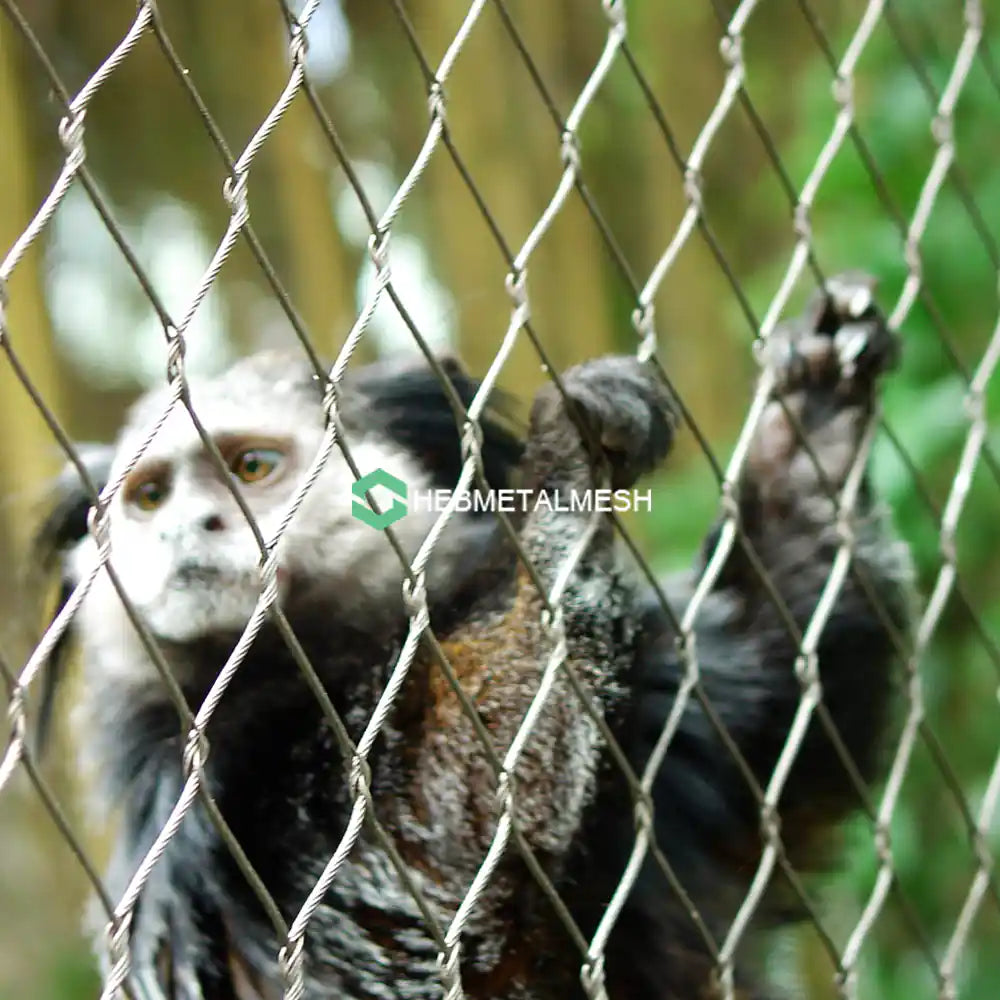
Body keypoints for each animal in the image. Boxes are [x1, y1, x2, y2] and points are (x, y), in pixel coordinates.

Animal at [29, 270, 913, 1000]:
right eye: (150, 497)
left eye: (251, 468)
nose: (187, 529)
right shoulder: (235, 808)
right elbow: (444, 863)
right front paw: (567, 471)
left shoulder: (662, 707)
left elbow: (786, 729)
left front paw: (818, 419)